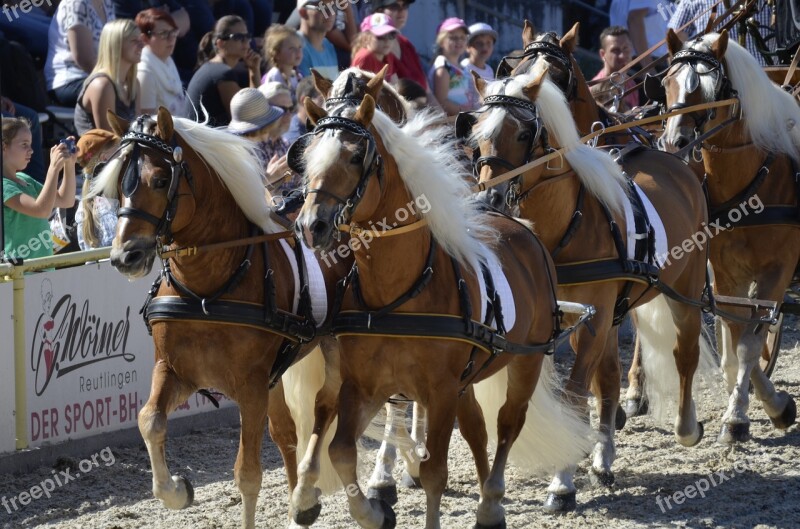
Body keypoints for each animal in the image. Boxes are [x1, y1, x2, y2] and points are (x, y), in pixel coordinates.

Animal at [90, 108, 346, 528]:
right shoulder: (177, 371)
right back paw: (301, 505)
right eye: (117, 186)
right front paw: (177, 490)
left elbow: (248, 474)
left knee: (331, 408)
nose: (124, 256)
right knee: (288, 431)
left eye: (160, 180)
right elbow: (149, 420)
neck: (207, 291)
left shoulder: (251, 387)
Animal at [290, 93, 592, 524]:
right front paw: (373, 512)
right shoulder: (364, 384)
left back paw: (491, 499)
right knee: (477, 429)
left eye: (355, 157)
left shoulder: (440, 390)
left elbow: (435, 471)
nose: (310, 225)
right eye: (307, 155)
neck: (397, 294)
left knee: (507, 423)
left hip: (525, 361)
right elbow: (341, 450)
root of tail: (523, 230)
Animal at [466, 64, 708, 510]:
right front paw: (587, 460)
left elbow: (576, 395)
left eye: (523, 133)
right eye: (477, 133)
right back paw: (604, 457)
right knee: (610, 378)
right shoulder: (571, 321)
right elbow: (593, 387)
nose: (490, 198)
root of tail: (672, 157)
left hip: (686, 286)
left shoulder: (592, 321)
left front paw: (561, 483)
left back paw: (686, 426)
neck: (566, 223)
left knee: (685, 351)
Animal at [660, 29, 796, 442]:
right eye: (666, 82)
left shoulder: (779, 268)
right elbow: (738, 336)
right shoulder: (725, 273)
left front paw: (739, 416)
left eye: (709, 89)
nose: (674, 141)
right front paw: (767, 404)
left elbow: (751, 343)